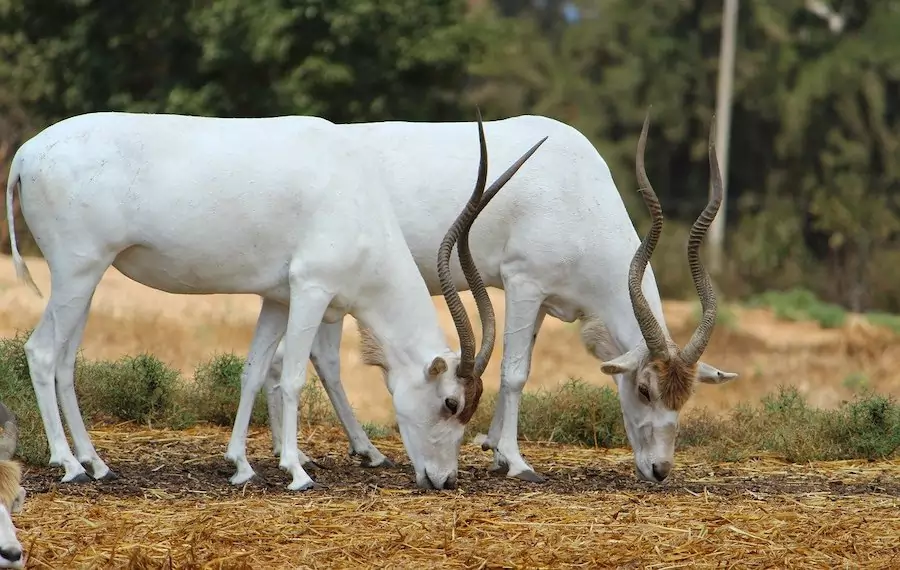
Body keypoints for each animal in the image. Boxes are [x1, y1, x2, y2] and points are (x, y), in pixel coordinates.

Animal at [7, 108, 544, 490]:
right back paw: (69, 465)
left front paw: (241, 465)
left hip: (86, 277)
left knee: (65, 359)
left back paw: (96, 463)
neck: (350, 192)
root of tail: (26, 154)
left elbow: (252, 371)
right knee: (42, 351)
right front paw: (297, 471)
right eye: (451, 403)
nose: (445, 480)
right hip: (76, 272)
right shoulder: (310, 288)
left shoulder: (276, 298)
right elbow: (292, 377)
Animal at [253, 108, 740, 482]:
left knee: (294, 359)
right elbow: (516, 372)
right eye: (643, 389)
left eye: (683, 397)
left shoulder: (542, 298)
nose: (659, 470)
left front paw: (493, 447)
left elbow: (520, 363)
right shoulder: (523, 282)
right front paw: (517, 462)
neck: (575, 189)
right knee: (315, 359)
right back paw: (349, 453)